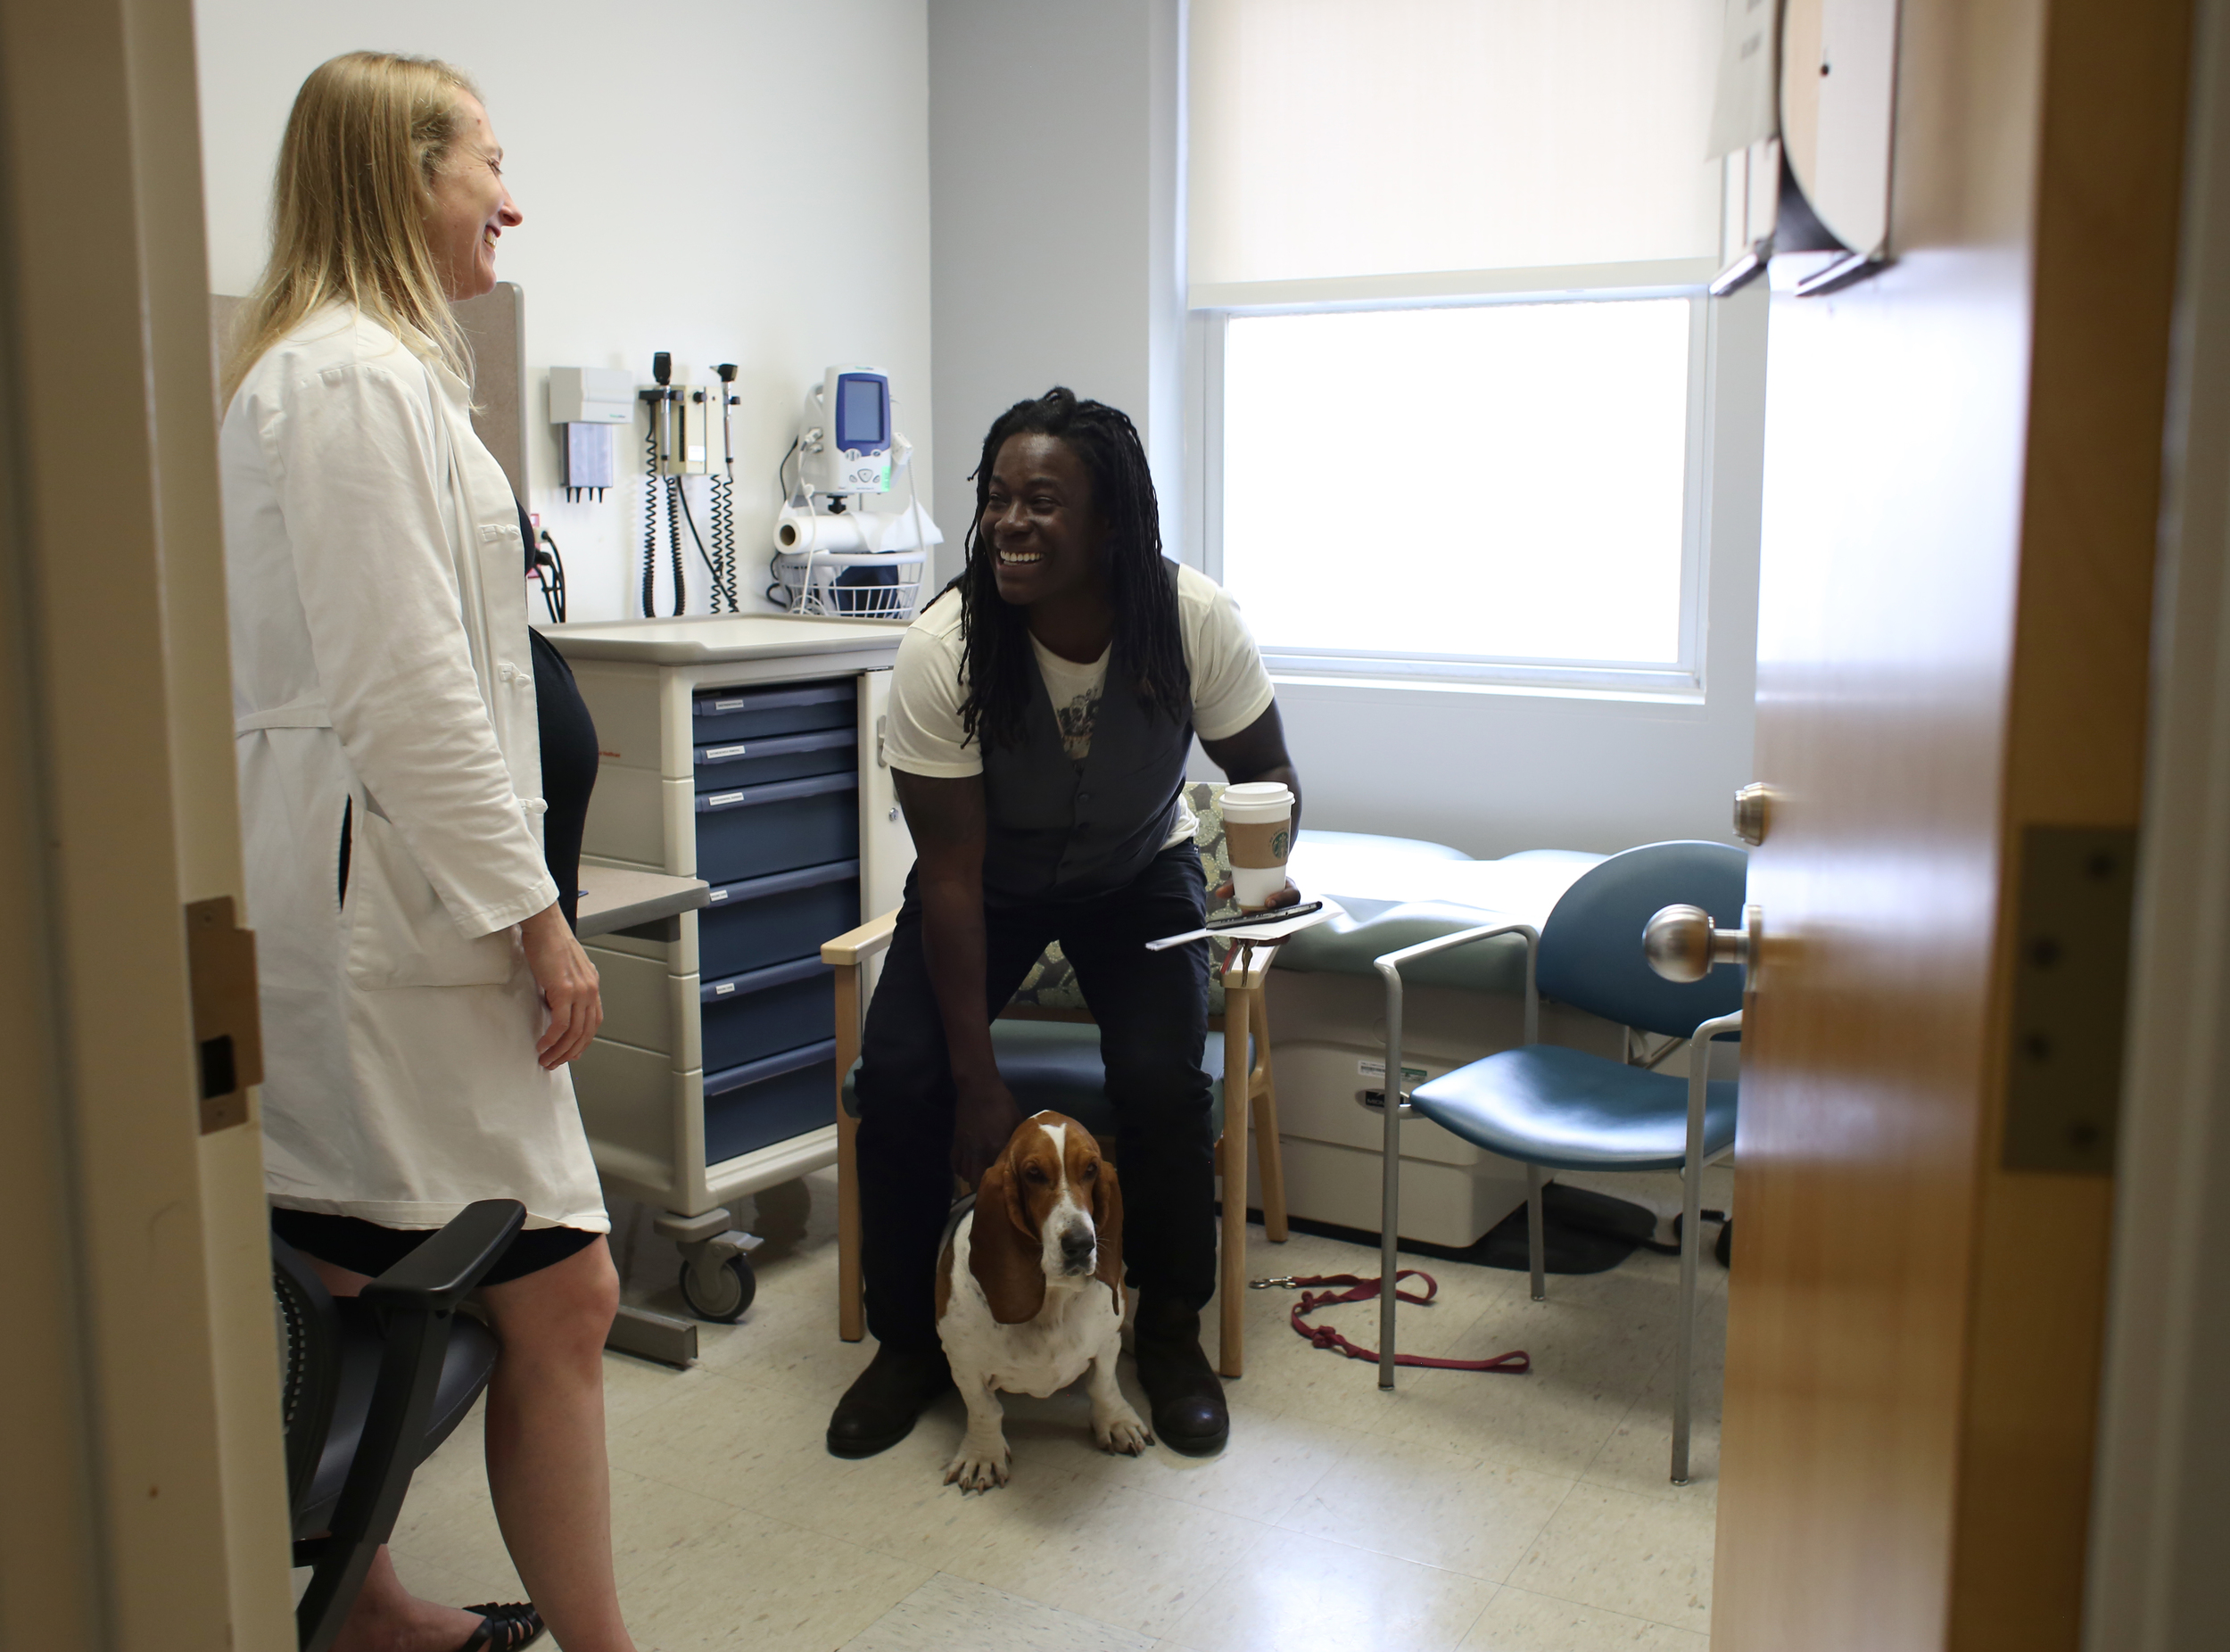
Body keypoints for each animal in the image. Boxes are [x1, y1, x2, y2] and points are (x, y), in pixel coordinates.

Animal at [937, 1110, 1160, 1480]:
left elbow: (1103, 1385)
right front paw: (983, 1453)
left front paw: (1116, 1421)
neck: (1053, 1298)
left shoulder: (1105, 1343)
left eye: (1091, 1169)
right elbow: (984, 1408)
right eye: (1033, 1174)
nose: (1081, 1245)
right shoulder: (964, 1363)